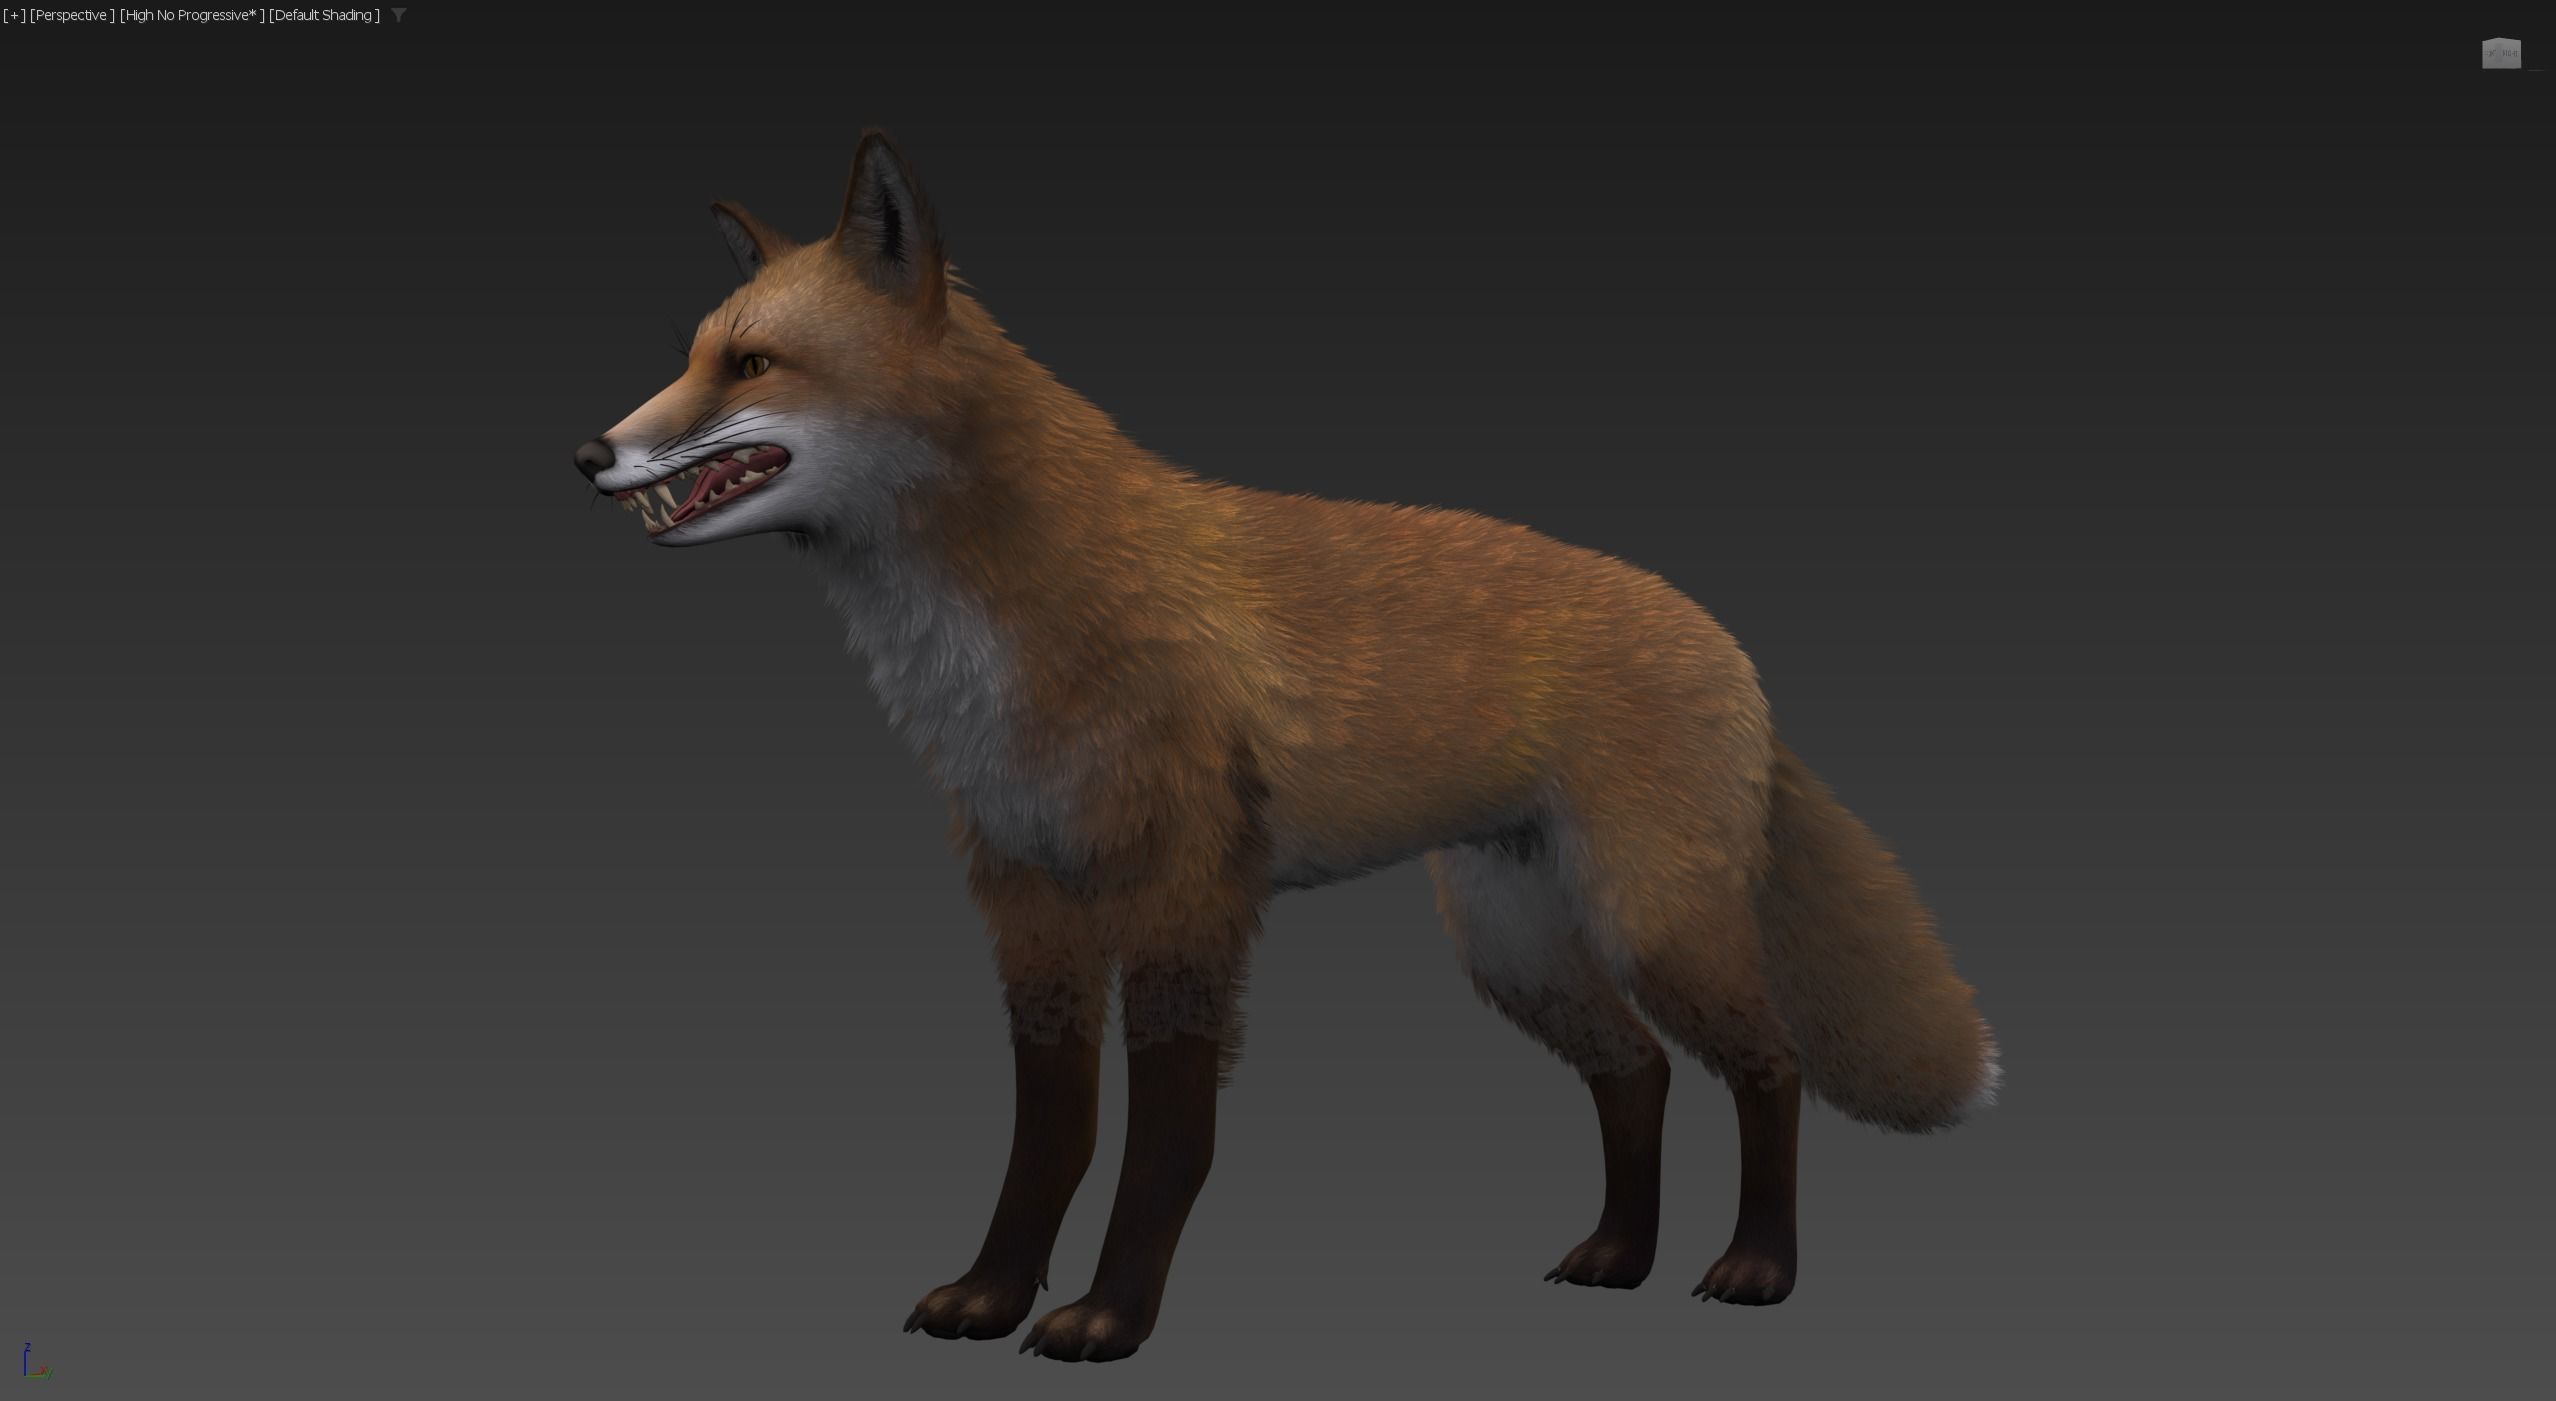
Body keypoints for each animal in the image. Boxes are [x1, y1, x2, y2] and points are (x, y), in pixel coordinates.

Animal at [572, 130, 1999, 1363]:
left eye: (751, 365)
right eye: (692, 354)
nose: (591, 451)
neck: (997, 643)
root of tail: (1723, 638)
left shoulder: (1183, 897)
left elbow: (1165, 1145)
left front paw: (1108, 1319)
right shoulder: (1027, 897)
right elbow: (1049, 1134)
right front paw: (993, 1291)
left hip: (1655, 923)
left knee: (1770, 1067)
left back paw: (1759, 1267)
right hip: (1517, 949)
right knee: (1636, 1073)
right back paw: (1619, 1256)